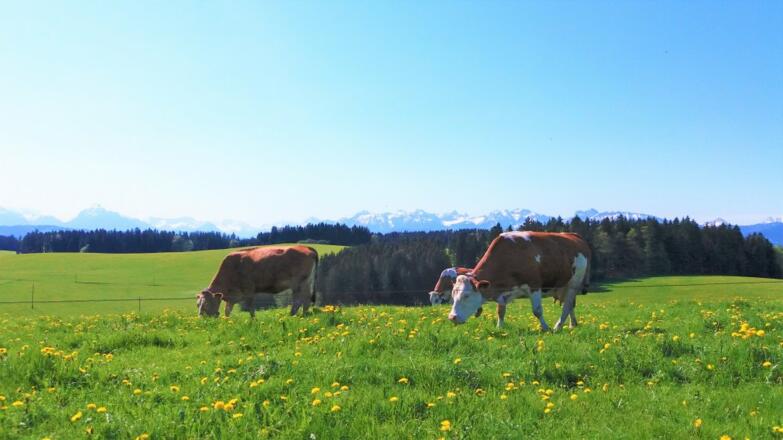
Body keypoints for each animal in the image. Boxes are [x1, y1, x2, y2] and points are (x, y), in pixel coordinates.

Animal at [448, 231, 591, 331]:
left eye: (466, 296)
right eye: (453, 295)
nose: (451, 317)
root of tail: (572, 235)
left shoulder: (534, 285)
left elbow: (537, 311)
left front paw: (546, 328)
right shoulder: (502, 292)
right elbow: (500, 311)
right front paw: (499, 328)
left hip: (573, 284)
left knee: (567, 306)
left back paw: (558, 327)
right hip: (563, 286)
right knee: (570, 305)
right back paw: (572, 325)